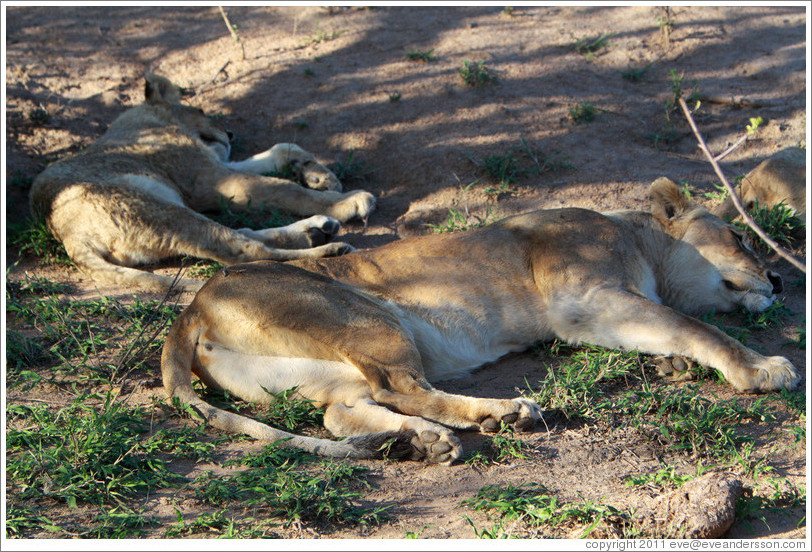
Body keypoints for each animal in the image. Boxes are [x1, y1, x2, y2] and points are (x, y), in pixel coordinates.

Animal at [29, 73, 376, 292]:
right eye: (201, 109)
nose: (230, 134)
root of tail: (68, 236)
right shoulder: (210, 180)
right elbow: (280, 187)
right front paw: (348, 201)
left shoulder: (217, 166)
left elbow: (281, 149)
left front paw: (319, 175)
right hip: (158, 210)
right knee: (240, 251)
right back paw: (331, 252)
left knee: (243, 233)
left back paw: (316, 230)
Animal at [161, 177, 800, 464]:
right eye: (740, 237)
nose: (779, 281)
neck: (639, 238)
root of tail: (191, 308)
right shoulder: (585, 298)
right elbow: (699, 327)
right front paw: (764, 368)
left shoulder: (596, 314)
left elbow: (673, 329)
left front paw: (671, 363)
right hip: (366, 316)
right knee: (401, 386)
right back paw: (502, 414)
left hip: (320, 371)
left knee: (342, 414)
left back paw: (424, 442)